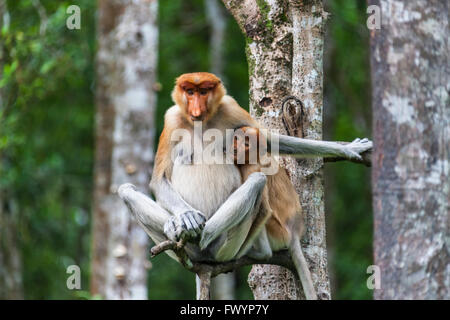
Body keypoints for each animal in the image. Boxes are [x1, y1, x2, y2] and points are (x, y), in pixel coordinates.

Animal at [117, 71, 372, 298]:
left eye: (203, 91)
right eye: (189, 92)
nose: (195, 108)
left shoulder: (231, 108)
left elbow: (269, 140)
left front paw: (349, 149)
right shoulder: (171, 119)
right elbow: (158, 179)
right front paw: (185, 217)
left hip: (228, 248)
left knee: (257, 182)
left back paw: (207, 236)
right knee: (126, 190)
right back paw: (178, 228)